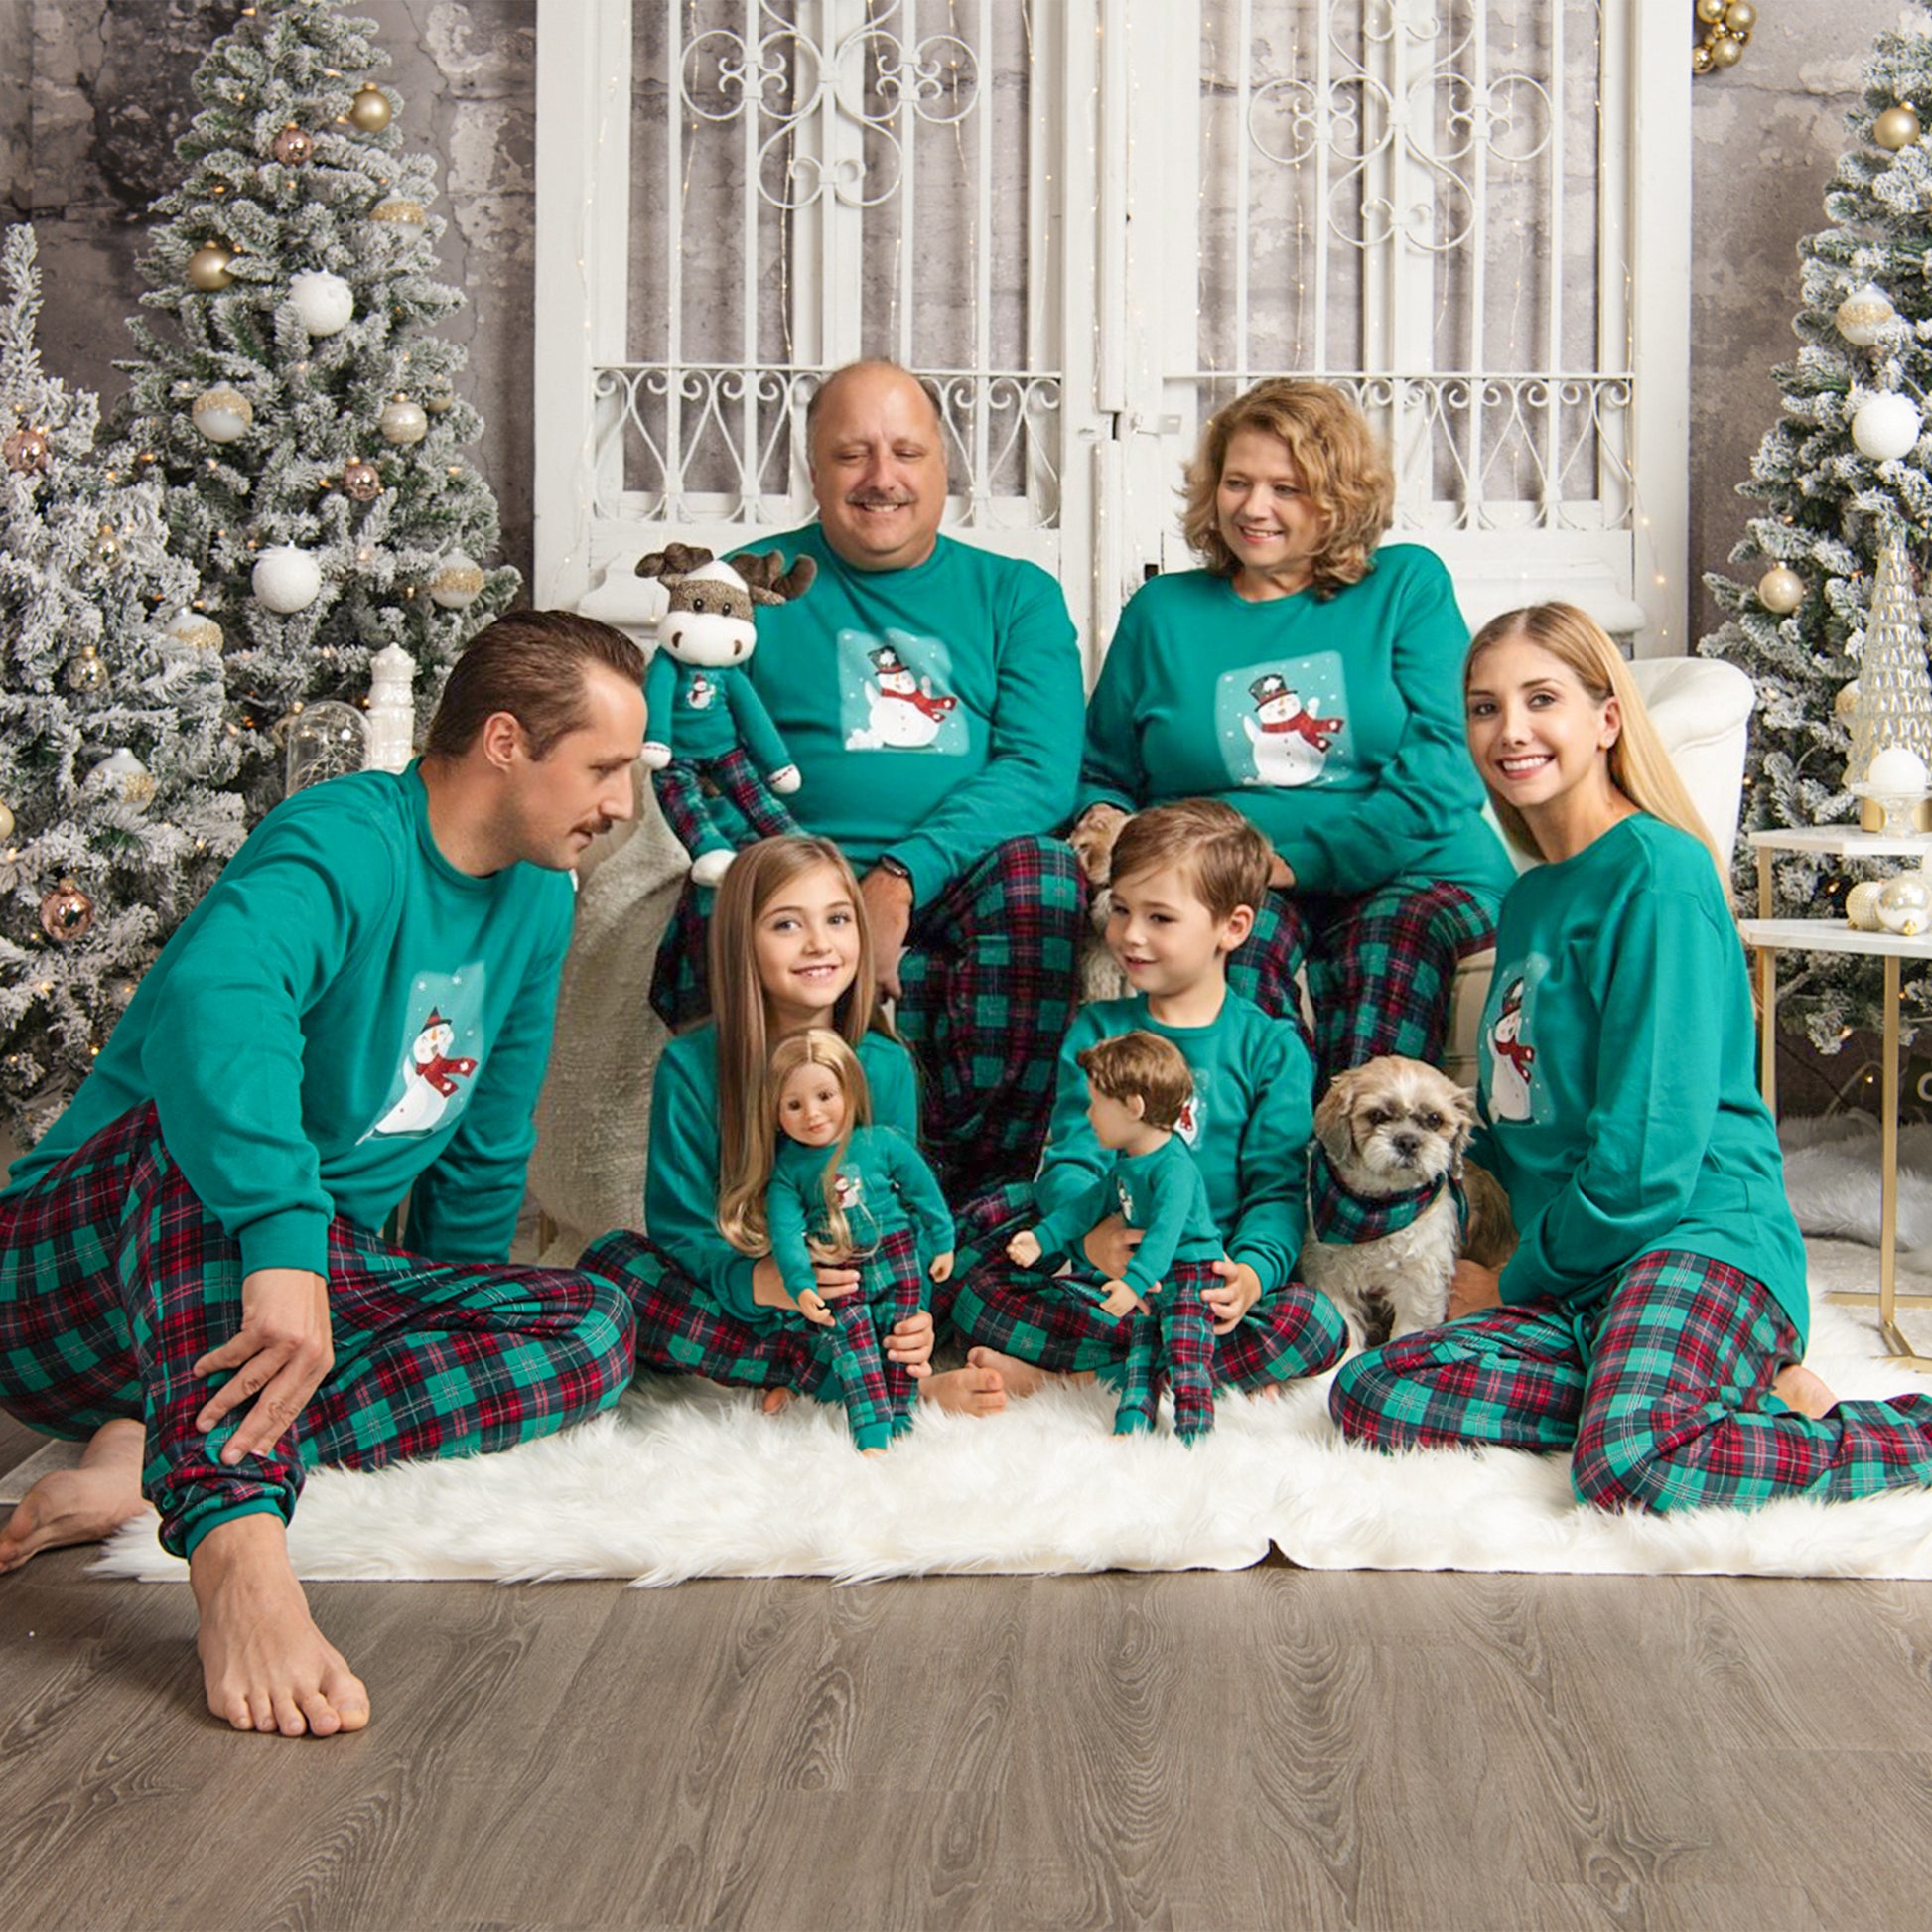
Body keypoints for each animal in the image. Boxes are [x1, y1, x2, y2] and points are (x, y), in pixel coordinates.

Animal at [1306, 1058, 1514, 1359]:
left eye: (1435, 1119)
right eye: (1377, 1115)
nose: (1407, 1140)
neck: (1376, 1209)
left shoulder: (1420, 1279)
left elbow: (1409, 1328)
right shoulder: (1329, 1273)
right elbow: (1346, 1327)